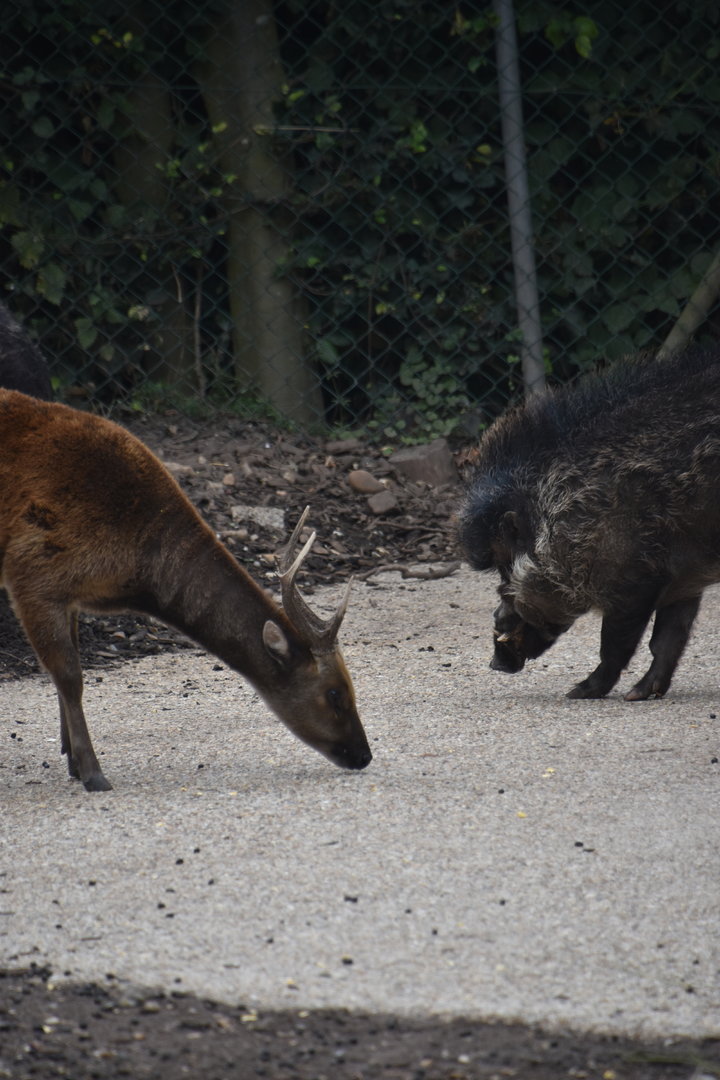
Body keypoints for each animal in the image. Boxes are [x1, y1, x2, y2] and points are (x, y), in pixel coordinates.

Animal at [0, 389, 372, 791]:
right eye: (334, 693)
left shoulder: (68, 597)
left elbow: (64, 673)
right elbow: (70, 677)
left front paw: (71, 761)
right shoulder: (34, 574)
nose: (364, 754)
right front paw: (93, 773)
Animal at [458, 345, 720, 700]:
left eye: (506, 567)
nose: (494, 664)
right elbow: (669, 638)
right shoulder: (683, 580)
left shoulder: (632, 582)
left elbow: (615, 645)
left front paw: (579, 692)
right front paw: (641, 694)